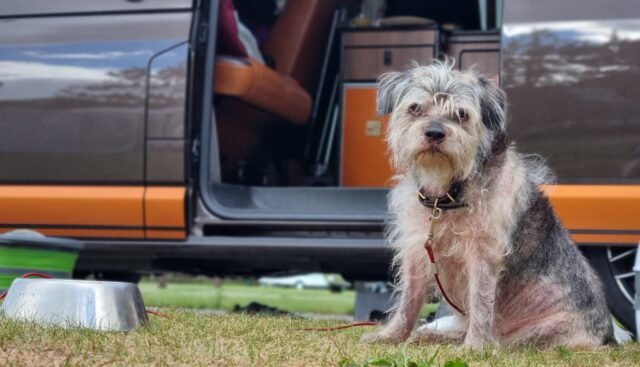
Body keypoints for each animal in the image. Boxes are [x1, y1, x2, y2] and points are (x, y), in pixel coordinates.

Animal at [362, 61, 616, 350]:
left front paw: (474, 347)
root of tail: (609, 336)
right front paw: (391, 336)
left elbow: (481, 303)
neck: (447, 192)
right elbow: (409, 300)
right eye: (415, 108)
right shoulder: (417, 250)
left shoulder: (483, 254)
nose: (435, 133)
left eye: (461, 114)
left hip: (538, 334)